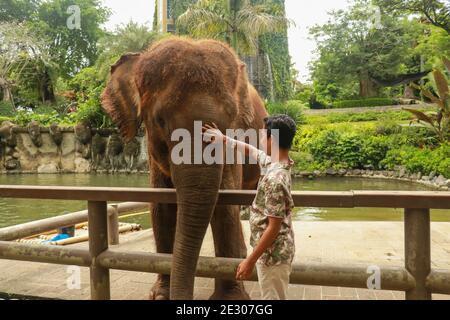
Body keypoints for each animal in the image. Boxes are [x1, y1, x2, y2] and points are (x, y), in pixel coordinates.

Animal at [101, 37, 268, 300]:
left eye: (230, 119)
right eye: (159, 120)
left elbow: (224, 206)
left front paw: (230, 299)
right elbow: (162, 207)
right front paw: (161, 296)